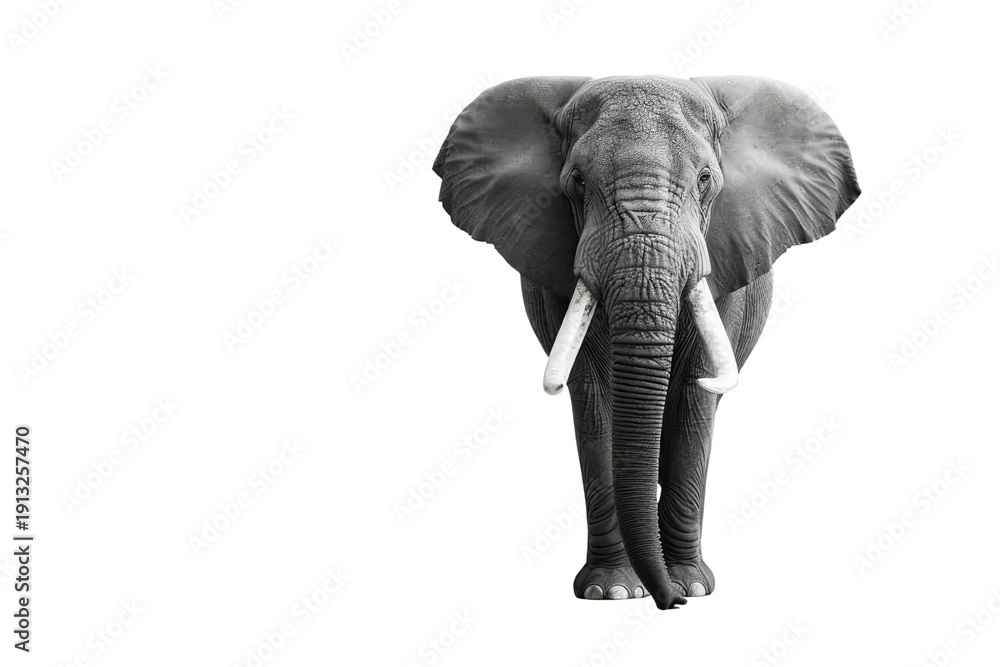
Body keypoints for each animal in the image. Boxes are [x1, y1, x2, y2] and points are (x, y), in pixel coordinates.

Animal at [432, 75, 860, 610]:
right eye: (577, 181)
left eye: (705, 179)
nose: (669, 603)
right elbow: (593, 398)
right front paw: (612, 591)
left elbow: (696, 396)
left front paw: (692, 586)